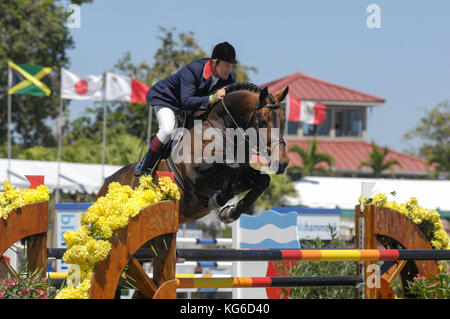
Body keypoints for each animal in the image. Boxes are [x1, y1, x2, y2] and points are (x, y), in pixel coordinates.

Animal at [96, 84, 290, 226]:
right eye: (263, 122)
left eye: (284, 120)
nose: (283, 163)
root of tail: (104, 186)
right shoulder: (196, 174)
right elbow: (228, 170)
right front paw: (218, 200)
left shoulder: (241, 179)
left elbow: (263, 181)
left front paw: (229, 212)